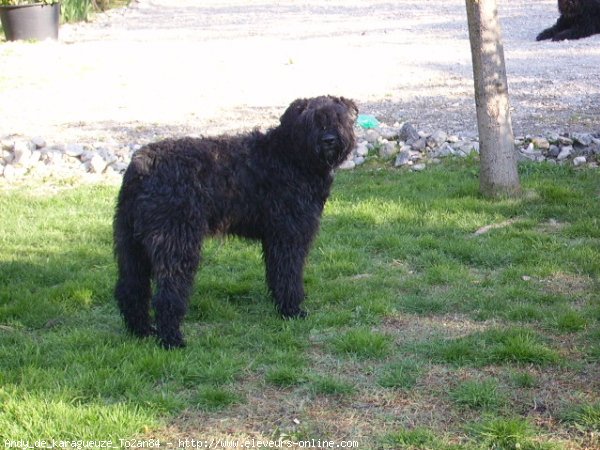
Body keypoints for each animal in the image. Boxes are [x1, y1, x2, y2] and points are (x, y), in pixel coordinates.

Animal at [112, 95, 356, 348]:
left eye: (338, 117)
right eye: (310, 120)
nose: (329, 140)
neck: (291, 155)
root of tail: (141, 166)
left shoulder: (275, 237)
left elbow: (276, 272)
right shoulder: (290, 233)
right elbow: (289, 273)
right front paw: (292, 310)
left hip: (130, 243)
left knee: (131, 288)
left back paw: (140, 330)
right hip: (176, 243)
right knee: (167, 293)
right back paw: (172, 339)